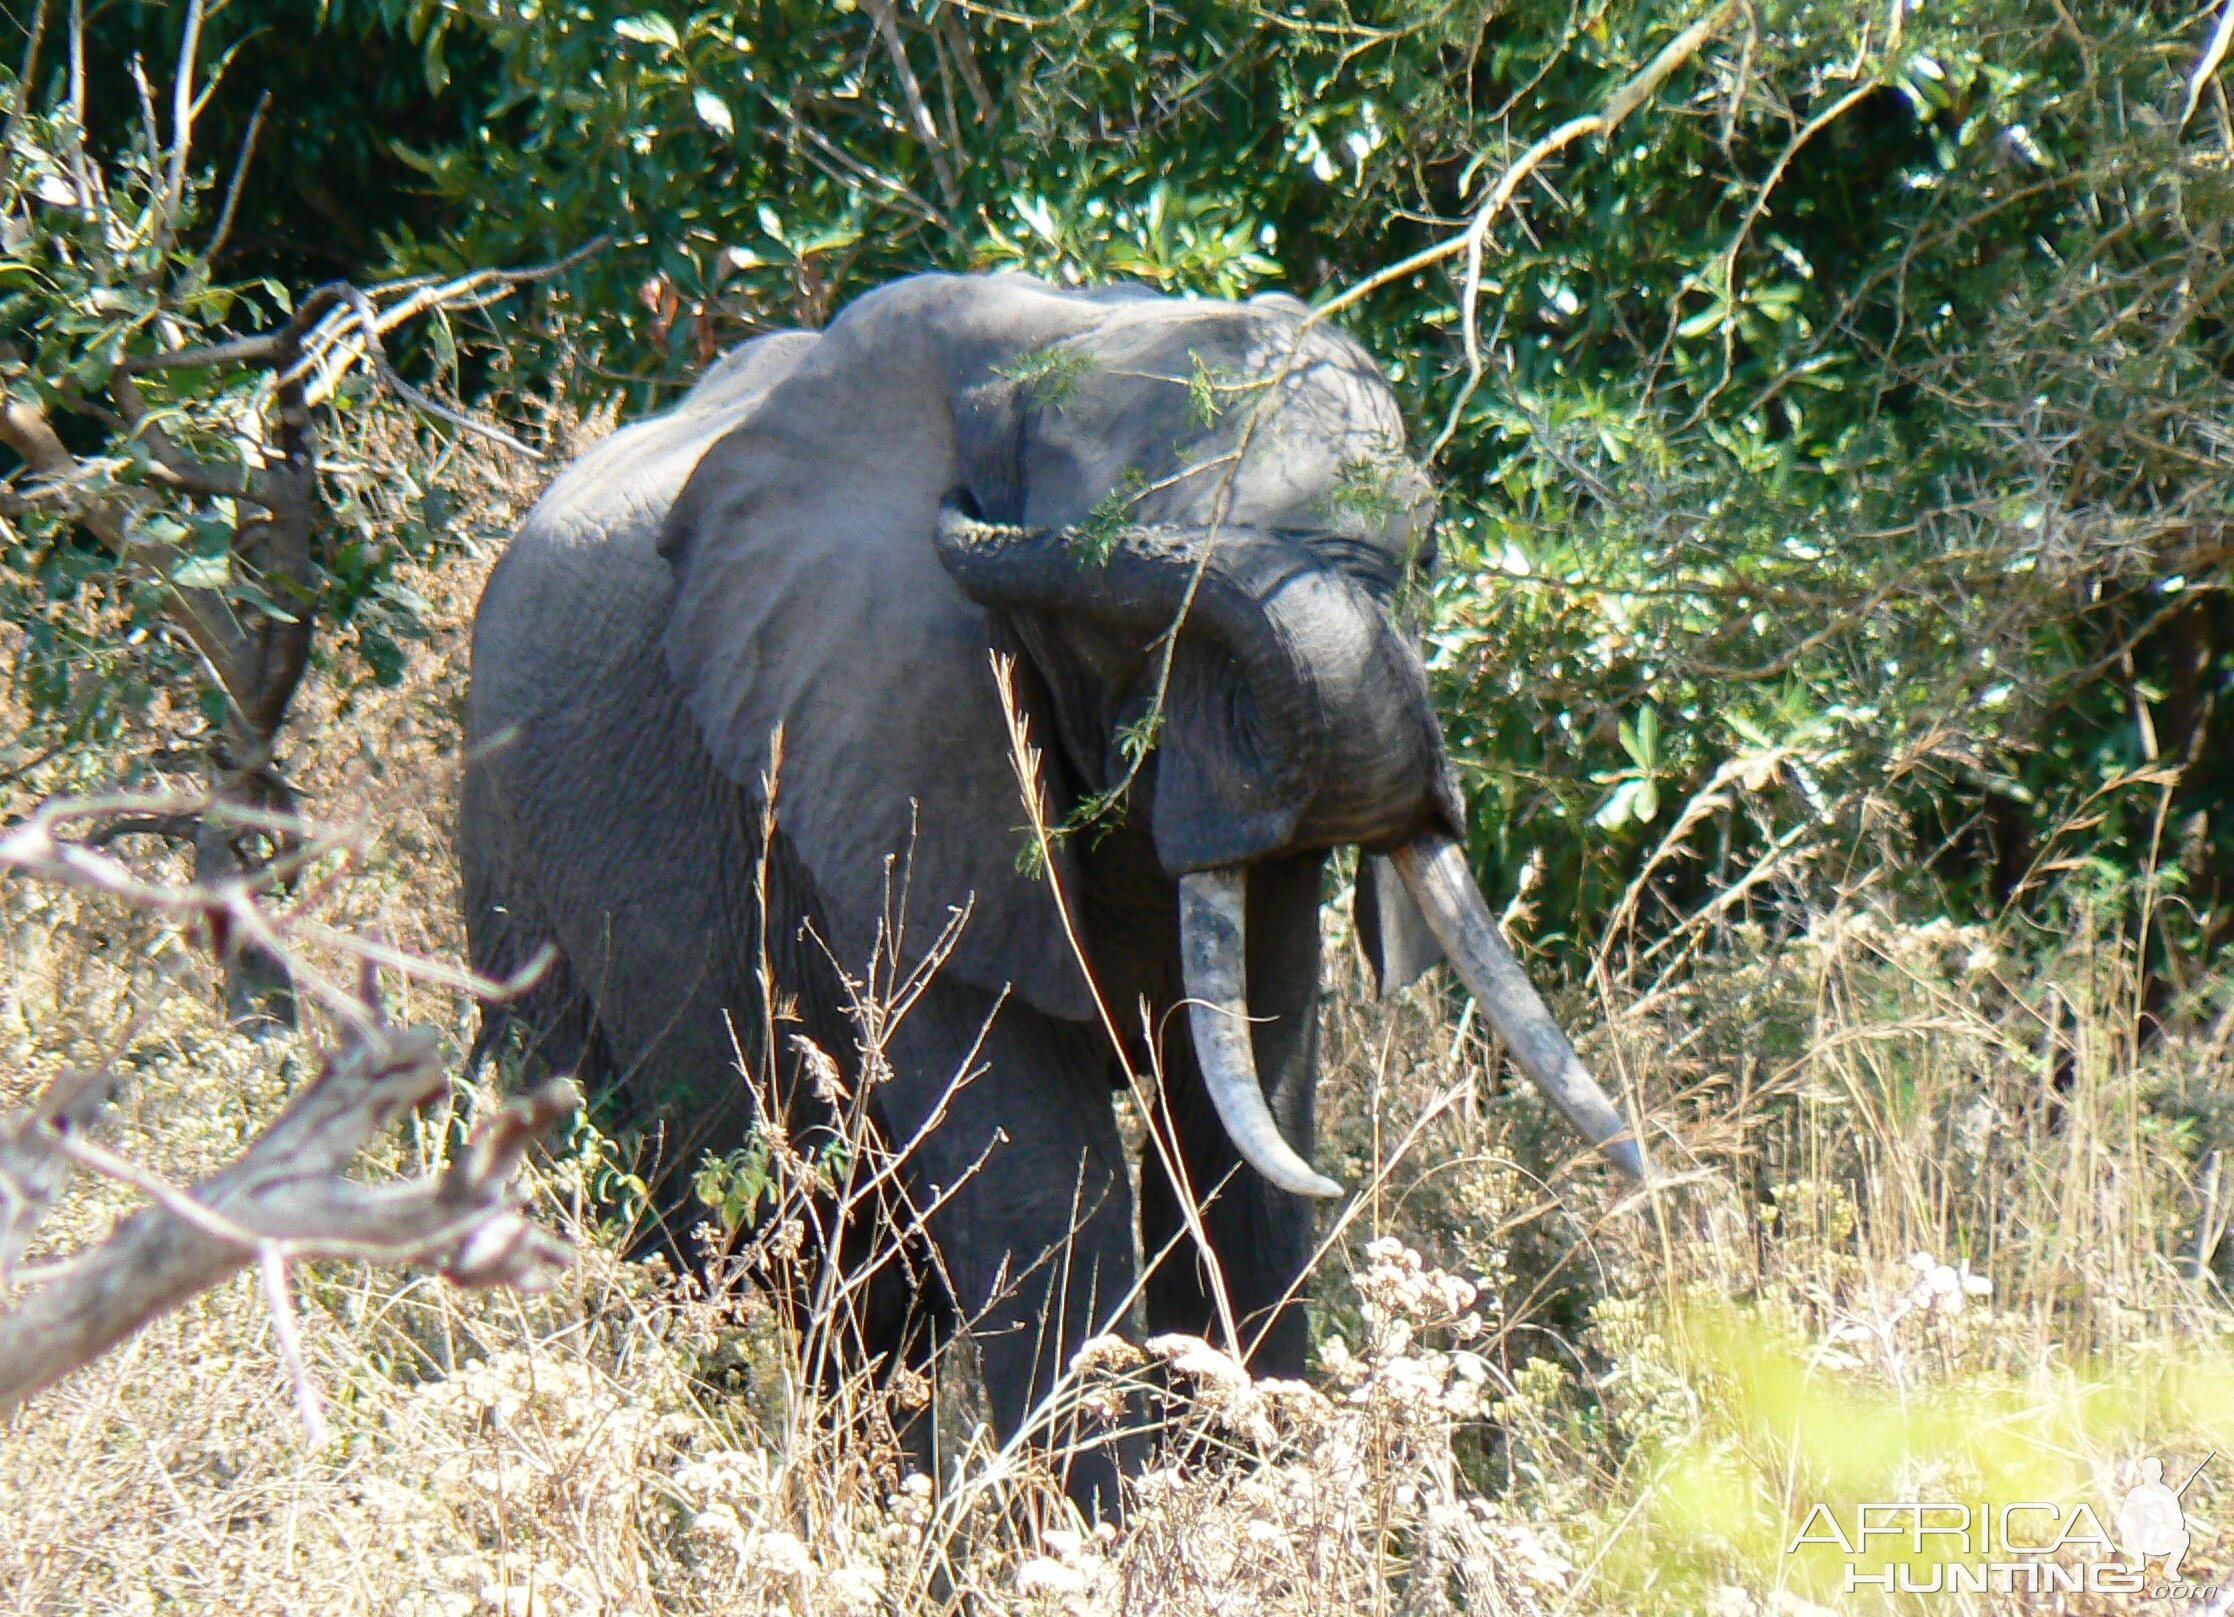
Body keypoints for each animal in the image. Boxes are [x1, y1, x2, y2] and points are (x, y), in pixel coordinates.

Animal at [462, 271, 1653, 1509]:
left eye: (1420, 550)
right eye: (1133, 622)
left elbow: (1244, 1127)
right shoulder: (893, 756)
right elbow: (1037, 1170)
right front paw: (1131, 1537)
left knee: (863, 1295)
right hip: (516, 872)